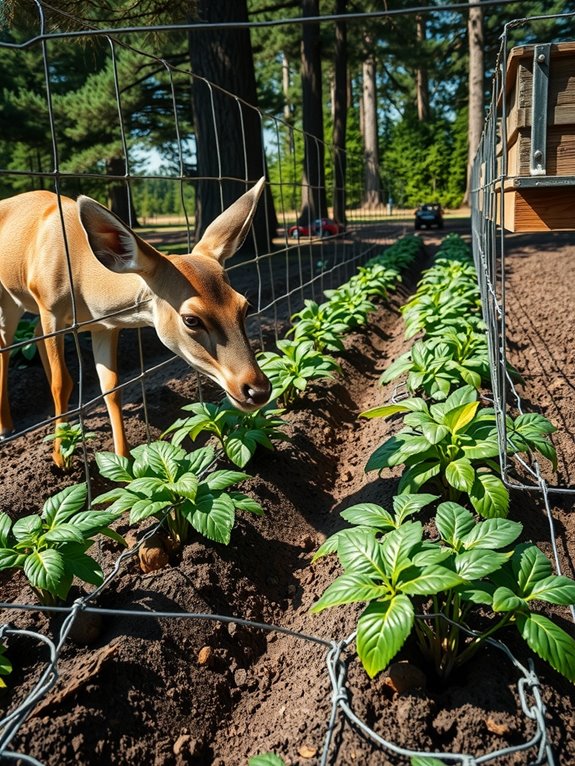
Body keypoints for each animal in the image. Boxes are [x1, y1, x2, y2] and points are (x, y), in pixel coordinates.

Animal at [0, 177, 271, 467]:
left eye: (245, 306)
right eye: (191, 319)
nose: (258, 390)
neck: (84, 288)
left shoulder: (104, 326)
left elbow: (111, 386)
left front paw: (125, 462)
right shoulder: (50, 307)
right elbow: (62, 383)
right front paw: (59, 458)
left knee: (34, 335)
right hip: (10, 299)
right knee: (7, 345)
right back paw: (8, 427)